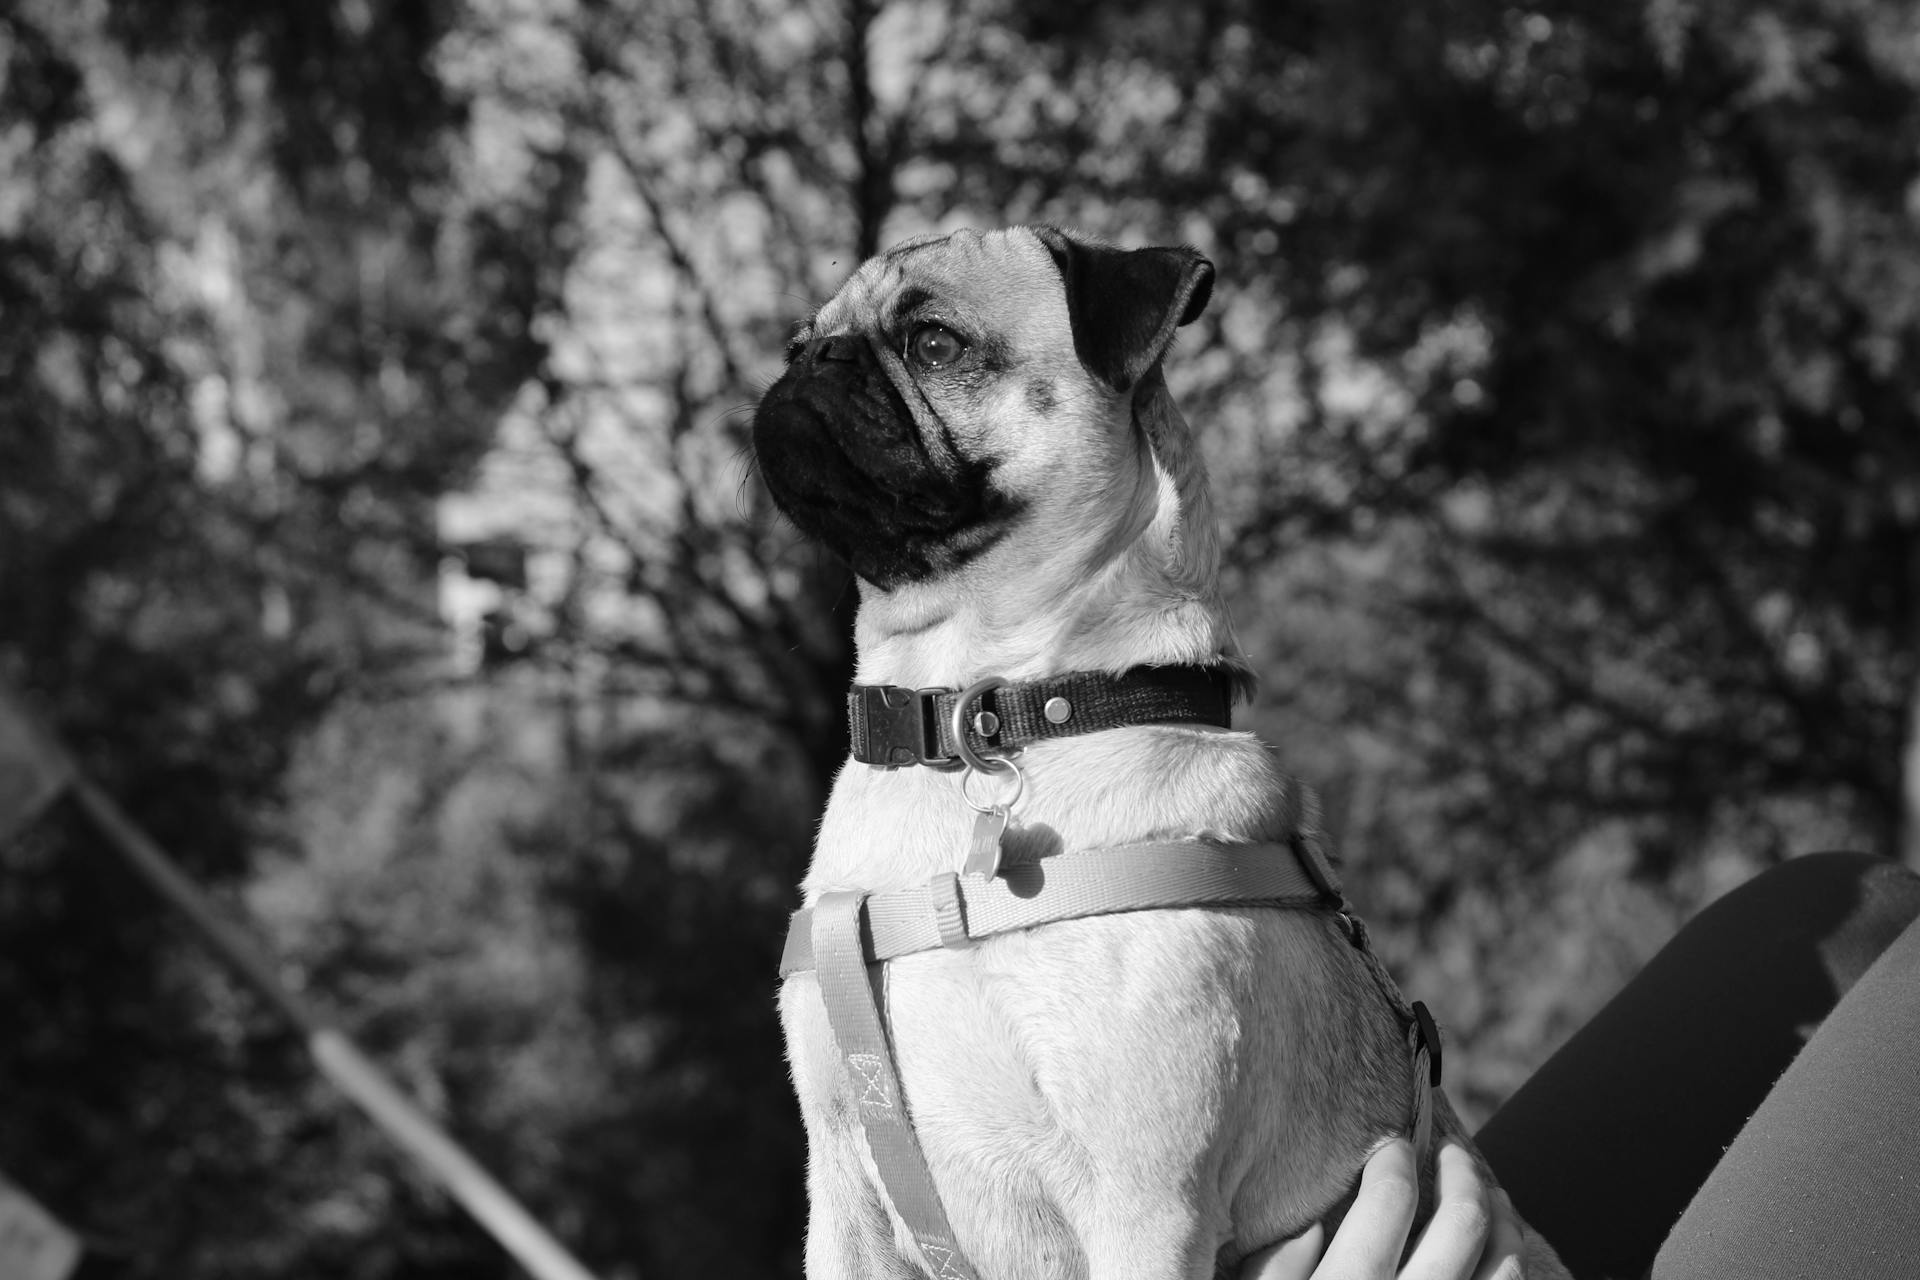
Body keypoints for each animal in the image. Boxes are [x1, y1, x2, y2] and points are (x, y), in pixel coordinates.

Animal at [748, 230, 1559, 1280]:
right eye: (797, 342)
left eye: (933, 343)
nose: (812, 361)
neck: (974, 714)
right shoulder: (845, 1200)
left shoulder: (1144, 1203)